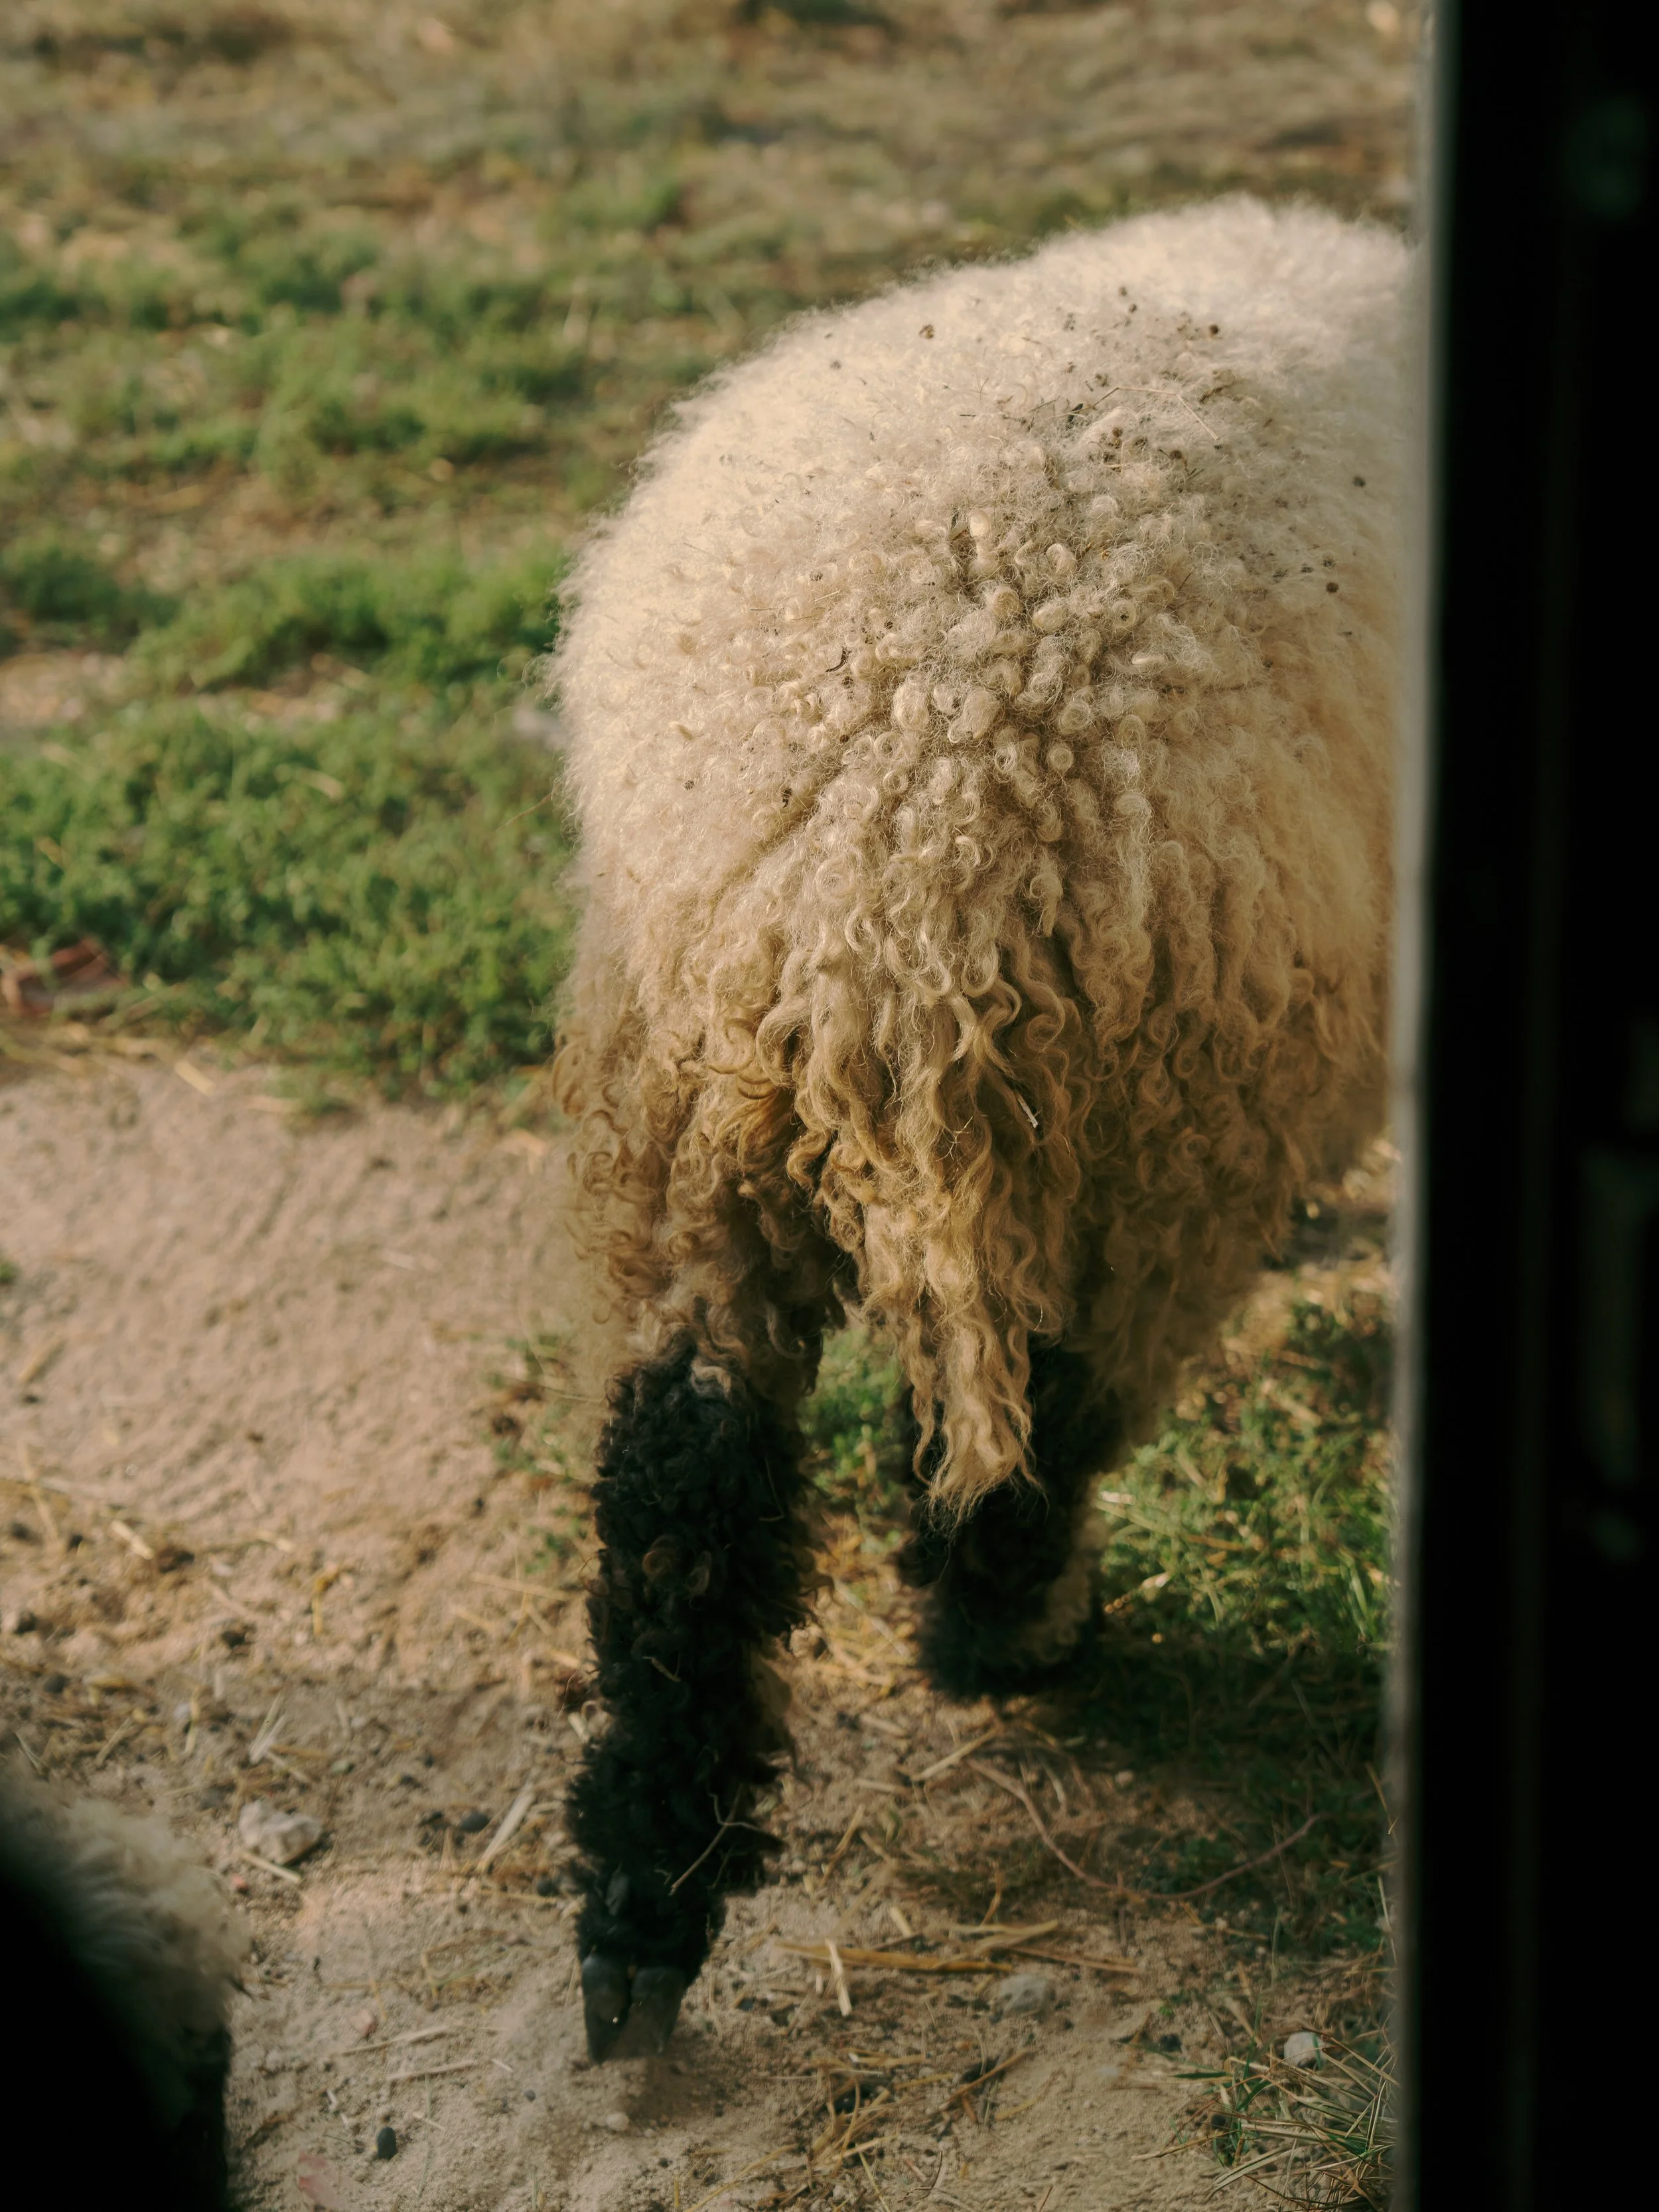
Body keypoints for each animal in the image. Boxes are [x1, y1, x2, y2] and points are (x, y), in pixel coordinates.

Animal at [547, 196, 1404, 2059]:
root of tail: (899, 806)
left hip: (700, 1085)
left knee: (684, 1458)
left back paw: (641, 1909)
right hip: (1171, 1122)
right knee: (1059, 1397)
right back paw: (1008, 1624)